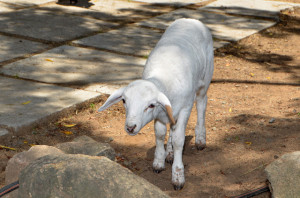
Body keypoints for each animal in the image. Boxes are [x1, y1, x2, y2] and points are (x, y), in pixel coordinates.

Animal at [99, 19, 214, 190]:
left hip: (204, 81)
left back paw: (200, 139)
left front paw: (178, 176)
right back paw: (170, 153)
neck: (161, 79)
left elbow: (179, 140)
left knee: (201, 104)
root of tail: (190, 20)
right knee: (172, 126)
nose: (130, 127)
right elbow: (159, 134)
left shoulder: (185, 108)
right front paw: (159, 162)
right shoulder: (161, 114)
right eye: (124, 101)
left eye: (151, 105)